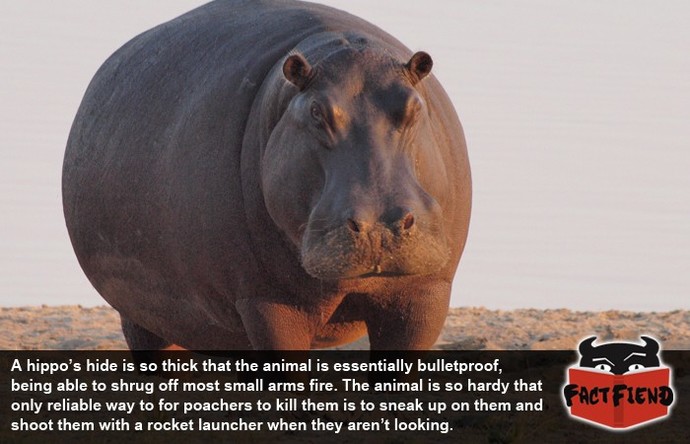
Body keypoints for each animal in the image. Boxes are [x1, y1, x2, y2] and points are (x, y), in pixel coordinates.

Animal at [62, 0, 471, 350]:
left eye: (414, 106)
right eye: (316, 112)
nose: (379, 227)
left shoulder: (425, 294)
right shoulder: (267, 302)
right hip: (143, 314)